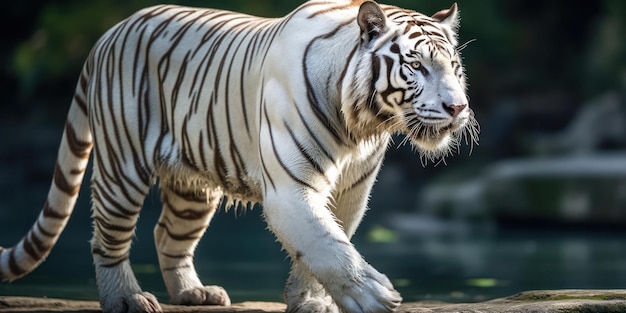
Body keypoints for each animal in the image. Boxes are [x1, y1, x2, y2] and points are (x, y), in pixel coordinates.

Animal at [1, 0, 478, 310]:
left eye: (455, 68)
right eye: (416, 67)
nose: (457, 108)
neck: (361, 126)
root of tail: (108, 34)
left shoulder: (351, 190)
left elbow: (326, 241)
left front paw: (309, 302)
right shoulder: (290, 188)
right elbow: (325, 244)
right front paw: (372, 296)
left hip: (192, 188)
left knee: (167, 235)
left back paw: (194, 293)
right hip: (122, 166)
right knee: (108, 238)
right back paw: (127, 298)